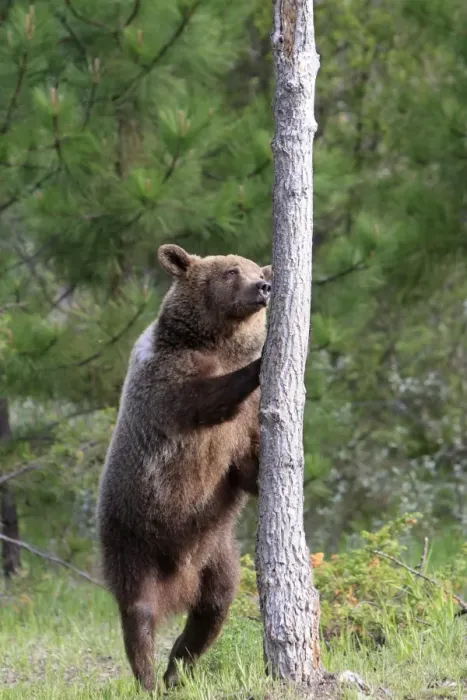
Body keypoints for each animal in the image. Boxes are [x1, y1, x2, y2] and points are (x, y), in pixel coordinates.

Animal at [97, 244, 272, 692]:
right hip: (132, 538)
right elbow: (203, 398)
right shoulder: (166, 379)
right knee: (138, 612)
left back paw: (178, 668)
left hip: (215, 548)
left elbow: (245, 467)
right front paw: (259, 363)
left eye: (257, 270)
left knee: (214, 607)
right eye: (231, 271)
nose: (262, 287)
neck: (215, 343)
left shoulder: (241, 434)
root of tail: (179, 581)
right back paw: (147, 678)